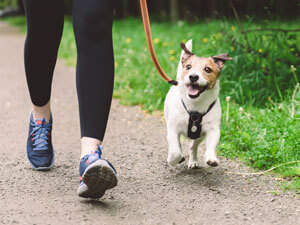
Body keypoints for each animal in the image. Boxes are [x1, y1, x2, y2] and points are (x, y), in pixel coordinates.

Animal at [164, 39, 232, 168]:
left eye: (207, 69)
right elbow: (175, 151)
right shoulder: (173, 129)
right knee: (178, 145)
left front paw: (211, 158)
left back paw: (193, 160)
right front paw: (172, 160)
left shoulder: (213, 130)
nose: (193, 76)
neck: (195, 105)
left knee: (193, 146)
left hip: (199, 136)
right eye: (188, 67)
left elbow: (211, 145)